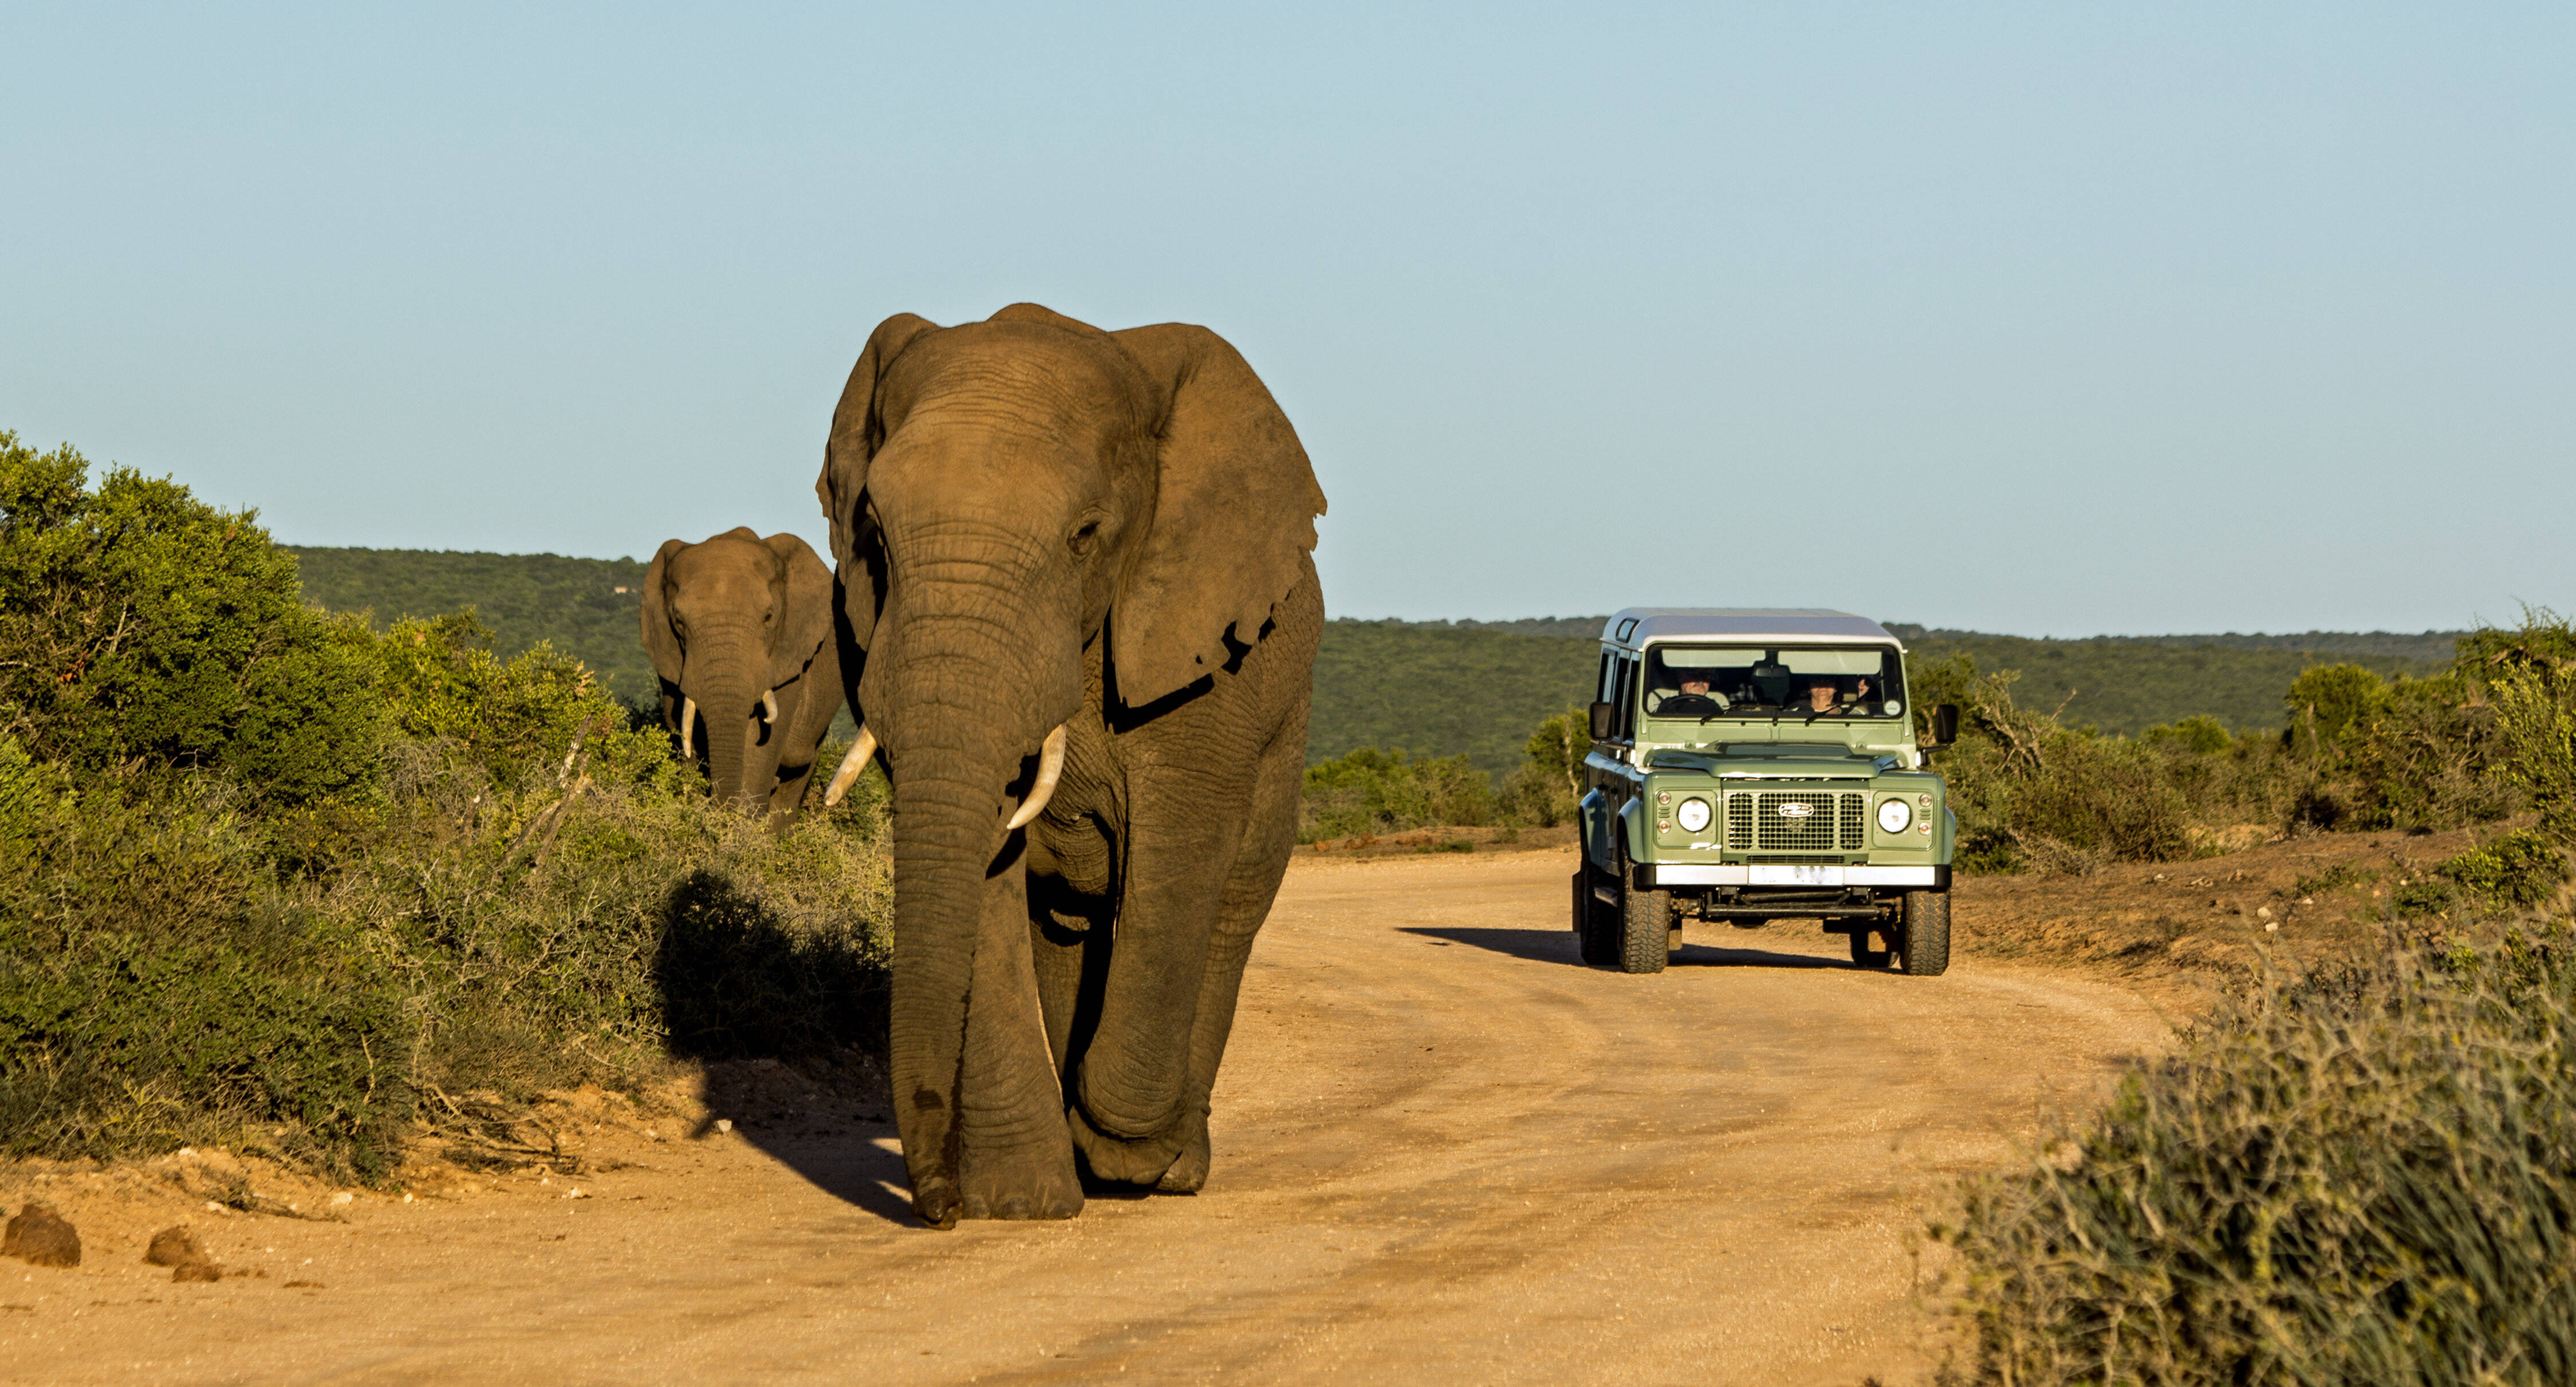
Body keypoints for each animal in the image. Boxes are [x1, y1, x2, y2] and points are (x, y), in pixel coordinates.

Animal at [641, 527, 844, 828]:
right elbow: (681, 729)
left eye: (769, 618)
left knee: (794, 779)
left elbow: (763, 741)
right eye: (678, 622)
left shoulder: (787, 656)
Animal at [812, 303, 1325, 1228]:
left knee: (1231, 902)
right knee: (1067, 924)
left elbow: (1180, 855)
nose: (935, 1205)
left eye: (1084, 536)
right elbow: (986, 874)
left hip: (1282, 708)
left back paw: (1169, 1167)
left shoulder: (1201, 655)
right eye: (873, 535)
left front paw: (1125, 1153)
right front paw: (1021, 1201)